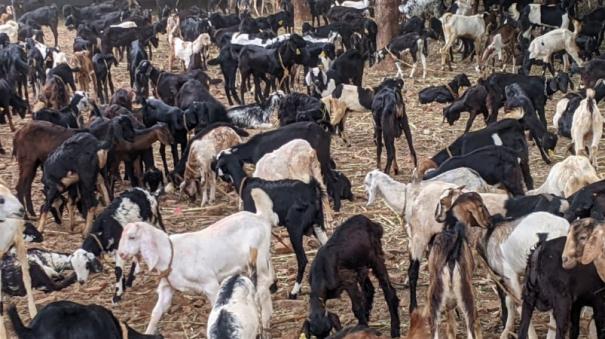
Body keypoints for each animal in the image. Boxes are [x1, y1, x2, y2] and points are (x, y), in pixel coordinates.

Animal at [118, 190, 278, 336]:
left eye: (132, 237)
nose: (121, 254)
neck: (171, 254)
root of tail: (261, 217)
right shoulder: (167, 287)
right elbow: (156, 313)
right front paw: (148, 332)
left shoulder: (210, 284)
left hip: (259, 257)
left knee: (263, 285)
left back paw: (265, 320)